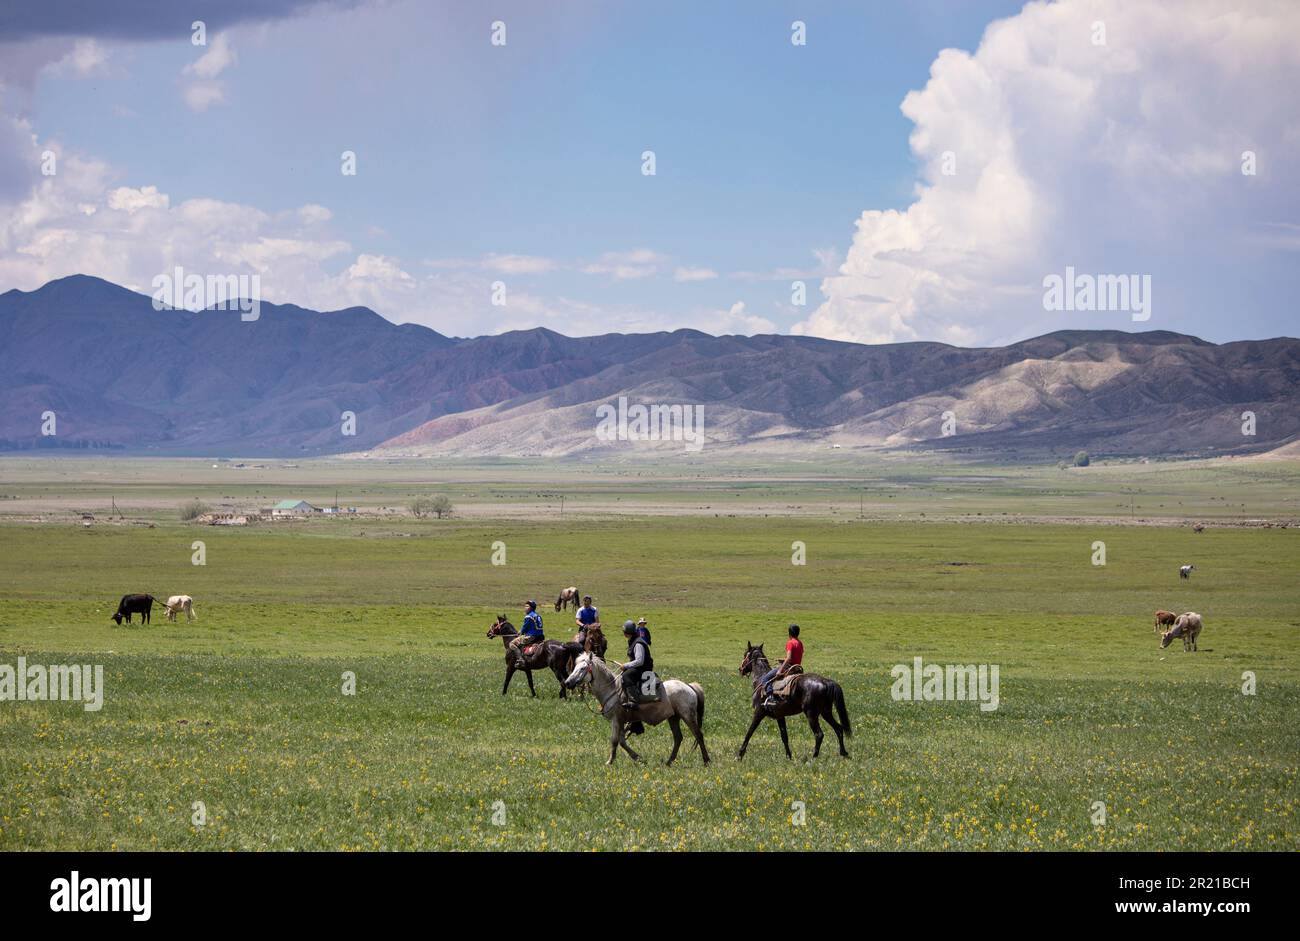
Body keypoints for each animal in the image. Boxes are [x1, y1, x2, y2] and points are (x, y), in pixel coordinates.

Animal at [561, 655, 712, 764]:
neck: (612, 690)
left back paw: (706, 760)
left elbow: (614, 740)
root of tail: (689, 686)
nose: (567, 683)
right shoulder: (621, 721)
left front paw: (610, 761)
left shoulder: (615, 720)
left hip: (687, 716)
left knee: (698, 735)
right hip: (673, 717)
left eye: (582, 668)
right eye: (575, 667)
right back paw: (669, 761)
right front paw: (637, 758)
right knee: (678, 738)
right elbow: (622, 741)